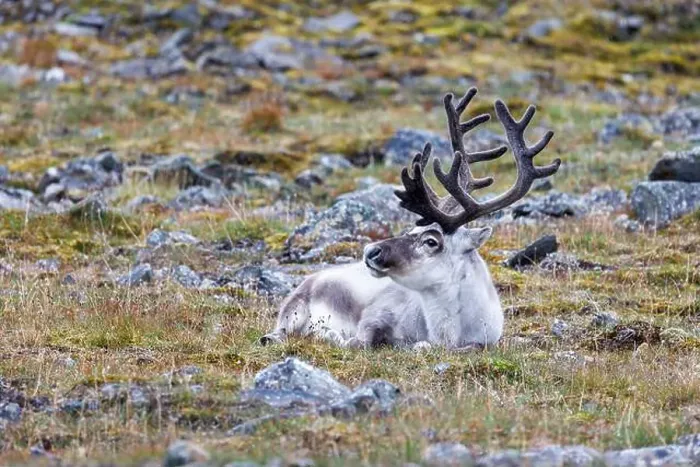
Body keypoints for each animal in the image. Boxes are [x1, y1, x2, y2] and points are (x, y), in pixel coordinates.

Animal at [260, 87, 560, 350]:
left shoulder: (484, 341)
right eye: (410, 229)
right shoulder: (376, 314)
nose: (370, 251)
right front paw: (337, 336)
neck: (448, 334)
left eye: (431, 241)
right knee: (275, 334)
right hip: (293, 310)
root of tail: (311, 278)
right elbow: (363, 341)